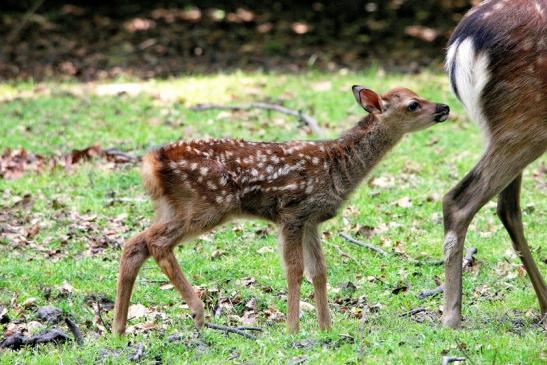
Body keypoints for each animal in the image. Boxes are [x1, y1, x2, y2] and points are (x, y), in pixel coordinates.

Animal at [112, 86, 450, 334]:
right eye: (413, 104)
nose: (444, 107)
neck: (339, 167)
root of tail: (151, 163)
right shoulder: (292, 213)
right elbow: (295, 270)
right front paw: (293, 329)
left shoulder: (312, 219)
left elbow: (319, 272)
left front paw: (326, 328)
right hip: (205, 205)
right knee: (156, 242)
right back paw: (197, 311)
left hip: (171, 207)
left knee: (134, 243)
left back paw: (118, 329)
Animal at [446, 0, 547, 328]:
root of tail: (460, 44)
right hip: (529, 120)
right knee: (459, 199)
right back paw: (451, 316)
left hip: (512, 125)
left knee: (507, 208)